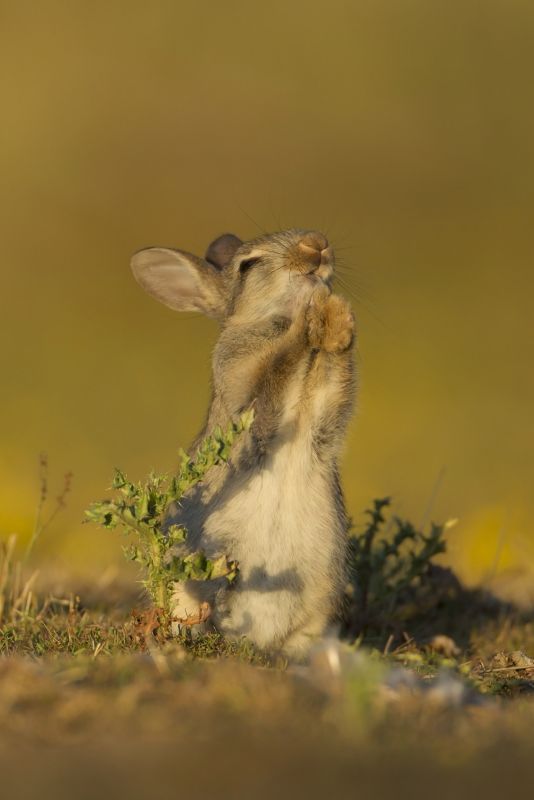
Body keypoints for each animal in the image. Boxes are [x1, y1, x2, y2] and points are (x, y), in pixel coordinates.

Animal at [131, 229, 356, 658]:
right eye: (248, 265)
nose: (316, 243)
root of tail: (257, 635)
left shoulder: (324, 414)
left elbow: (336, 377)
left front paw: (336, 317)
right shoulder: (250, 411)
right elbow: (280, 367)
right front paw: (312, 315)